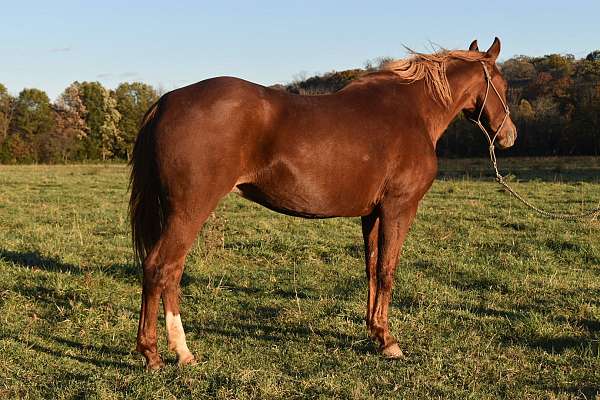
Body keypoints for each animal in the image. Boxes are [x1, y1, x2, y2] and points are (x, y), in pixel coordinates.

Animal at [130, 37, 516, 368]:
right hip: (188, 211)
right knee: (162, 268)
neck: (413, 111)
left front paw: (376, 333)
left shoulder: (372, 215)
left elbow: (371, 269)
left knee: (169, 272)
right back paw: (162, 353)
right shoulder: (398, 209)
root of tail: (167, 101)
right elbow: (387, 271)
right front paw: (390, 342)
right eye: (504, 85)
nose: (509, 135)